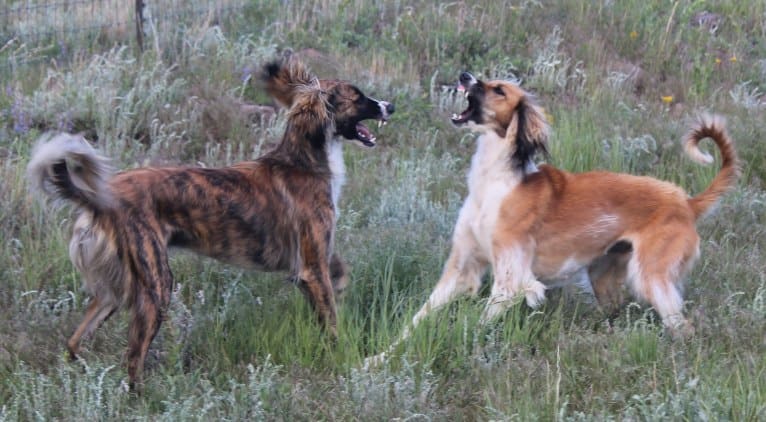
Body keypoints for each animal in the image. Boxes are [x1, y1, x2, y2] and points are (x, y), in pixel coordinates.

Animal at [378, 73, 736, 360]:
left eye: (499, 89)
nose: (465, 75)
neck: (496, 182)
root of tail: (687, 202)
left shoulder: (510, 280)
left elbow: (477, 324)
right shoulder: (462, 269)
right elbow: (416, 320)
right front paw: (379, 358)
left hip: (652, 278)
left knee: (683, 327)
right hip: (605, 276)